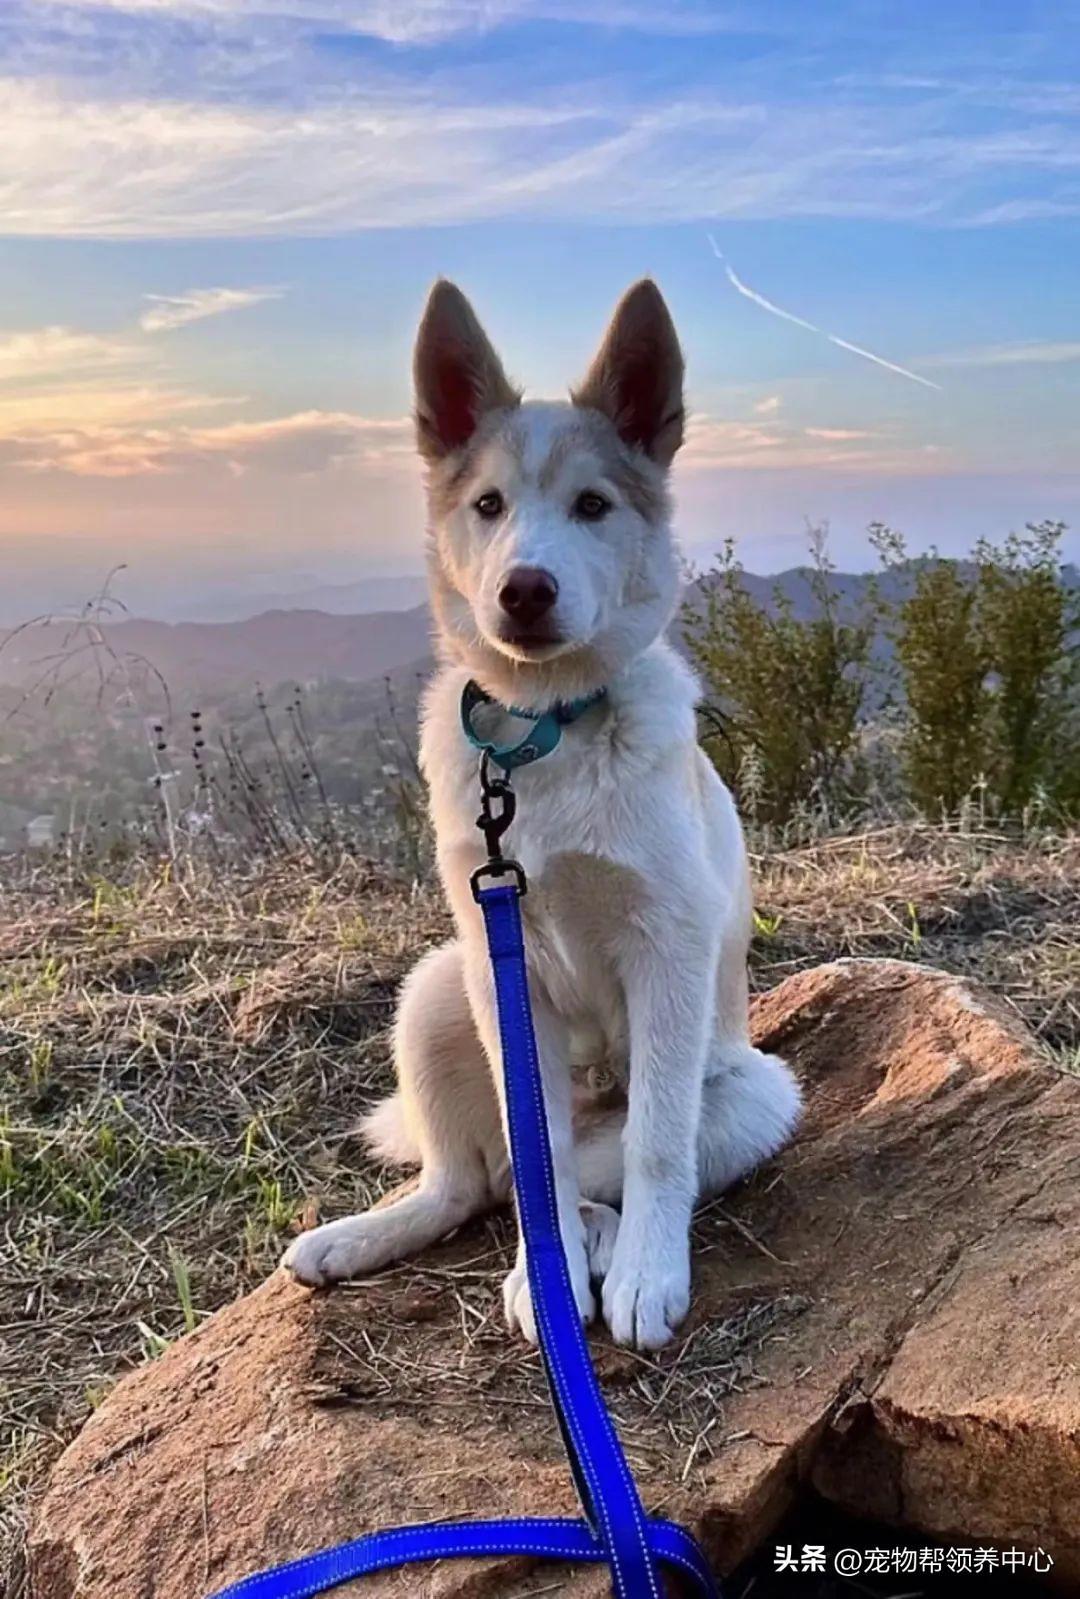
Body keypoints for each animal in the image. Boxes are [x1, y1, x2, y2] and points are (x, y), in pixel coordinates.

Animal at [283, 277, 802, 1350]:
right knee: (477, 1180)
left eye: (593, 506)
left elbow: (655, 1145)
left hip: (753, 1091)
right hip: (437, 988)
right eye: (488, 505)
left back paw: (603, 1244)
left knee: (588, 1170)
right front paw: (550, 1267)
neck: (546, 733)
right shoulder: (500, 957)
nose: (524, 589)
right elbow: (541, 1160)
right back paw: (371, 1239)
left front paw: (647, 1273)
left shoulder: (667, 948)